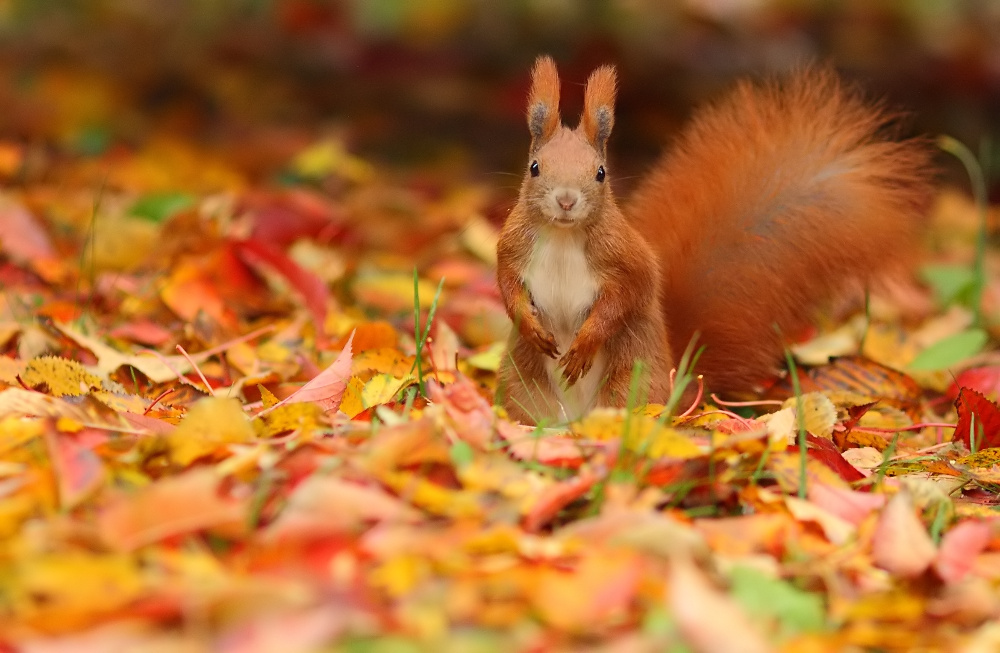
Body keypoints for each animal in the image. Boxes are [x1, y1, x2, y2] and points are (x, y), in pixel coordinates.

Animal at [496, 54, 932, 422]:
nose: (566, 200)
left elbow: (624, 299)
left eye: (601, 173)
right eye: (535, 167)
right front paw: (531, 326)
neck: (562, 236)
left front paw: (585, 344)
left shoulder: (625, 259)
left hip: (630, 383)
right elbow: (507, 287)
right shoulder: (512, 248)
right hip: (522, 385)